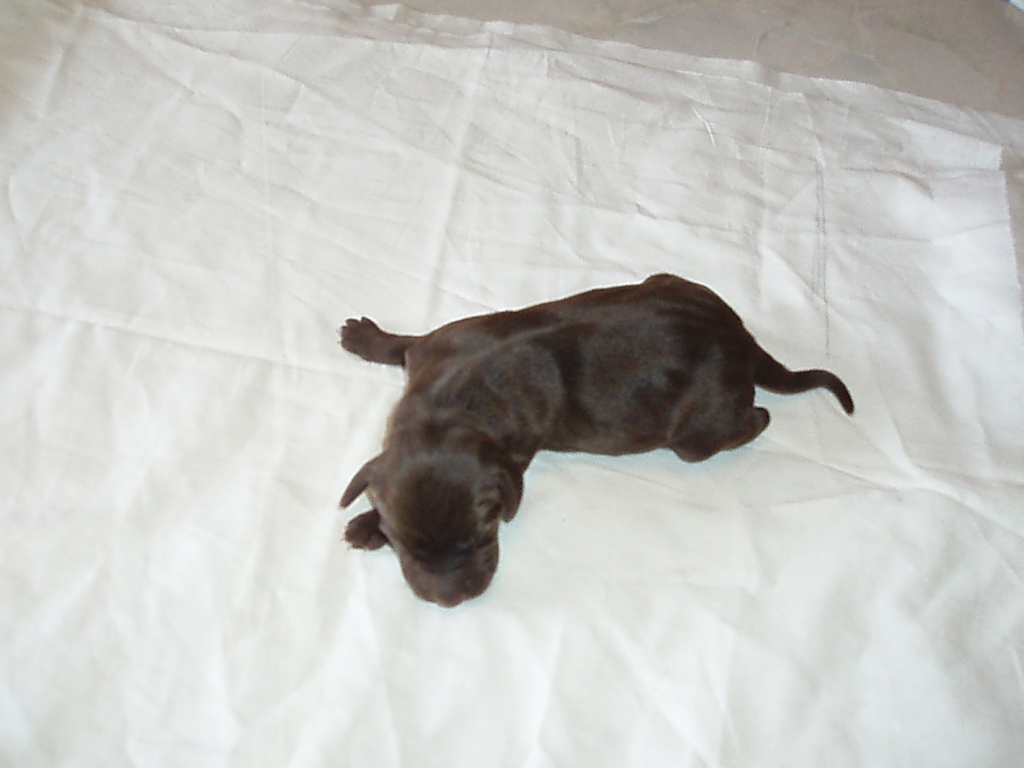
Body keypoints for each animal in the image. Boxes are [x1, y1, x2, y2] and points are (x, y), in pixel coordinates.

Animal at [339, 274, 853, 607]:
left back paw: (758, 418)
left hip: (698, 435)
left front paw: (362, 526)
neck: (446, 411)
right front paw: (365, 337)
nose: (452, 600)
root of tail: (741, 339)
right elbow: (403, 344)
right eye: (408, 548)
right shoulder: (435, 346)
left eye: (481, 535)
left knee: (756, 418)